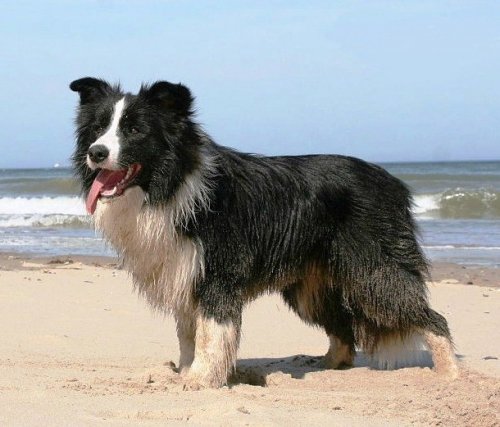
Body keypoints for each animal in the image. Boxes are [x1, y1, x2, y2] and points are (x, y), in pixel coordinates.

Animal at [70, 77, 458, 388]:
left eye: (135, 130)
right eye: (98, 128)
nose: (96, 152)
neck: (172, 181)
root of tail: (394, 183)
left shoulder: (217, 273)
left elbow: (209, 331)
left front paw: (200, 380)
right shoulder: (184, 271)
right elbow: (188, 333)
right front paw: (186, 372)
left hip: (372, 269)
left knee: (429, 316)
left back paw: (451, 374)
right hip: (311, 286)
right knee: (343, 329)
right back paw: (326, 365)